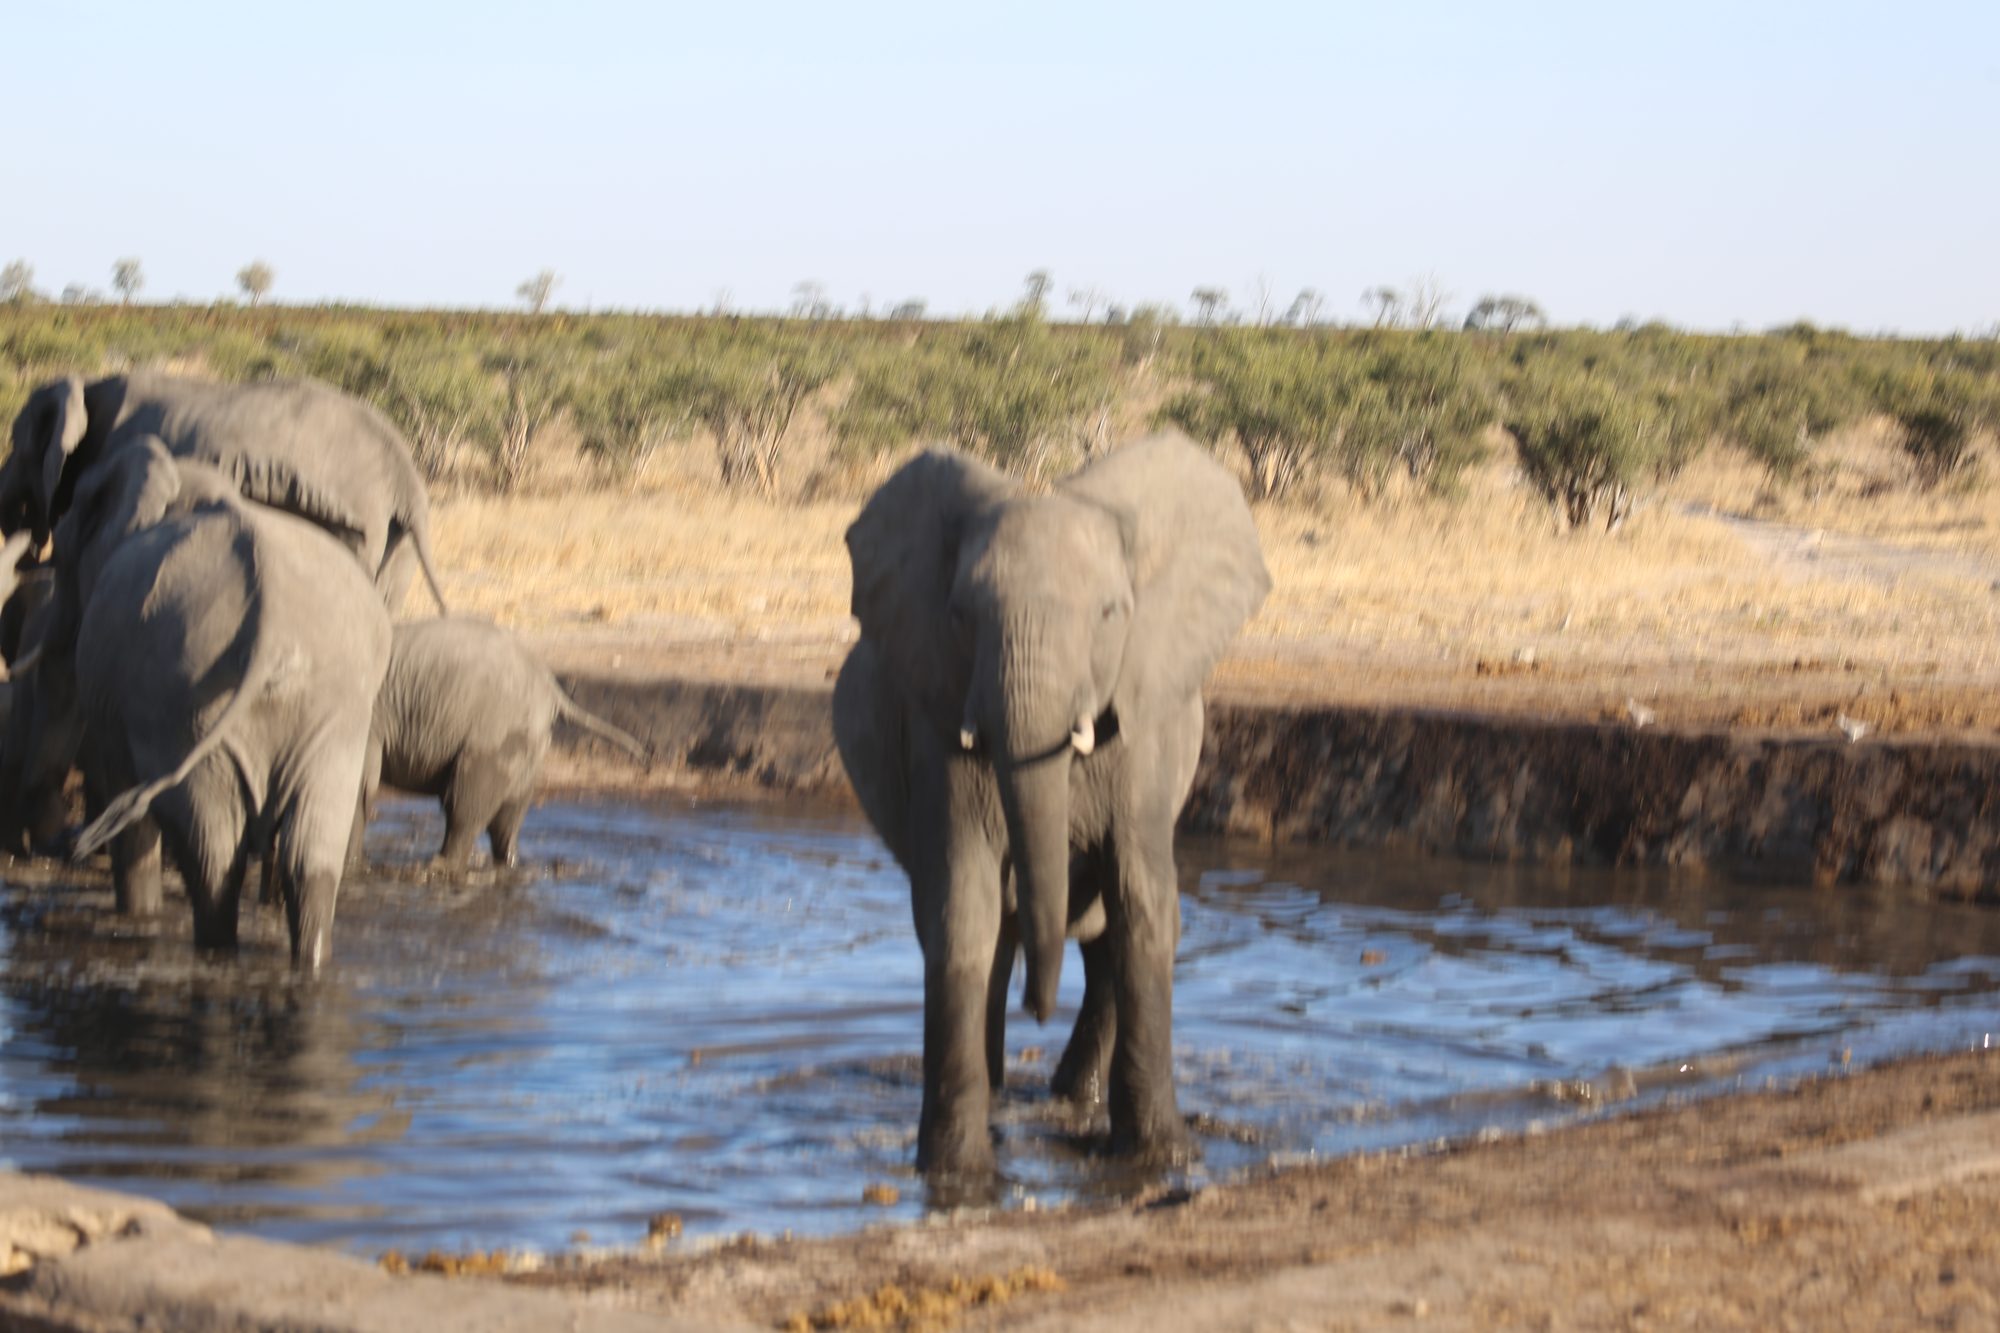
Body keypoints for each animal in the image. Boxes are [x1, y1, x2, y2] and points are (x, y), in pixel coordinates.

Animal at [57, 439, 390, 968]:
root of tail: (271, 623)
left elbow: (124, 805)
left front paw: (139, 916)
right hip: (334, 708)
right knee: (310, 852)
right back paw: (309, 962)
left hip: (182, 705)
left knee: (213, 859)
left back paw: (216, 952)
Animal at [353, 615, 651, 869]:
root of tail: (551, 688)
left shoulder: (370, 717)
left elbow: (361, 786)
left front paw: (354, 867)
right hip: (527, 740)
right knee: (508, 816)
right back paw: (507, 864)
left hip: (497, 732)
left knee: (464, 805)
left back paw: (436, 868)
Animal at [832, 431, 1270, 1177]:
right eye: (960, 616)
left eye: (1111, 614)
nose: (1037, 1009)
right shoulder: (938, 726)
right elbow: (962, 909)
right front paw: (955, 1173)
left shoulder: (1144, 729)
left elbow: (1142, 905)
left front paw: (1164, 1159)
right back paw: (1012, 1093)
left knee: (1102, 937)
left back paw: (1070, 1095)